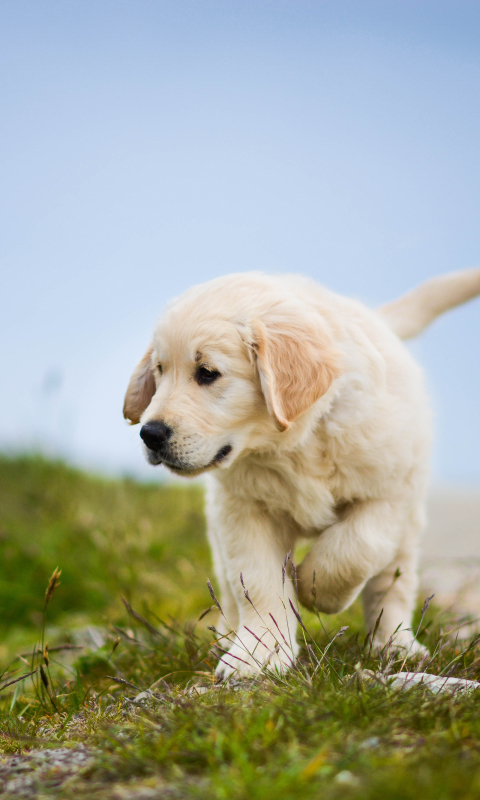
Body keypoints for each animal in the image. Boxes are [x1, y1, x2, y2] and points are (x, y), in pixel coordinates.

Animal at [123, 268, 480, 676]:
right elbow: (256, 581)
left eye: (207, 373)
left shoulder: (389, 493)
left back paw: (396, 644)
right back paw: (229, 633)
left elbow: (355, 548)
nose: (150, 434)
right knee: (229, 588)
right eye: (159, 371)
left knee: (392, 583)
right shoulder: (242, 509)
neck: (294, 443)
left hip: (408, 523)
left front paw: (315, 587)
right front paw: (258, 653)